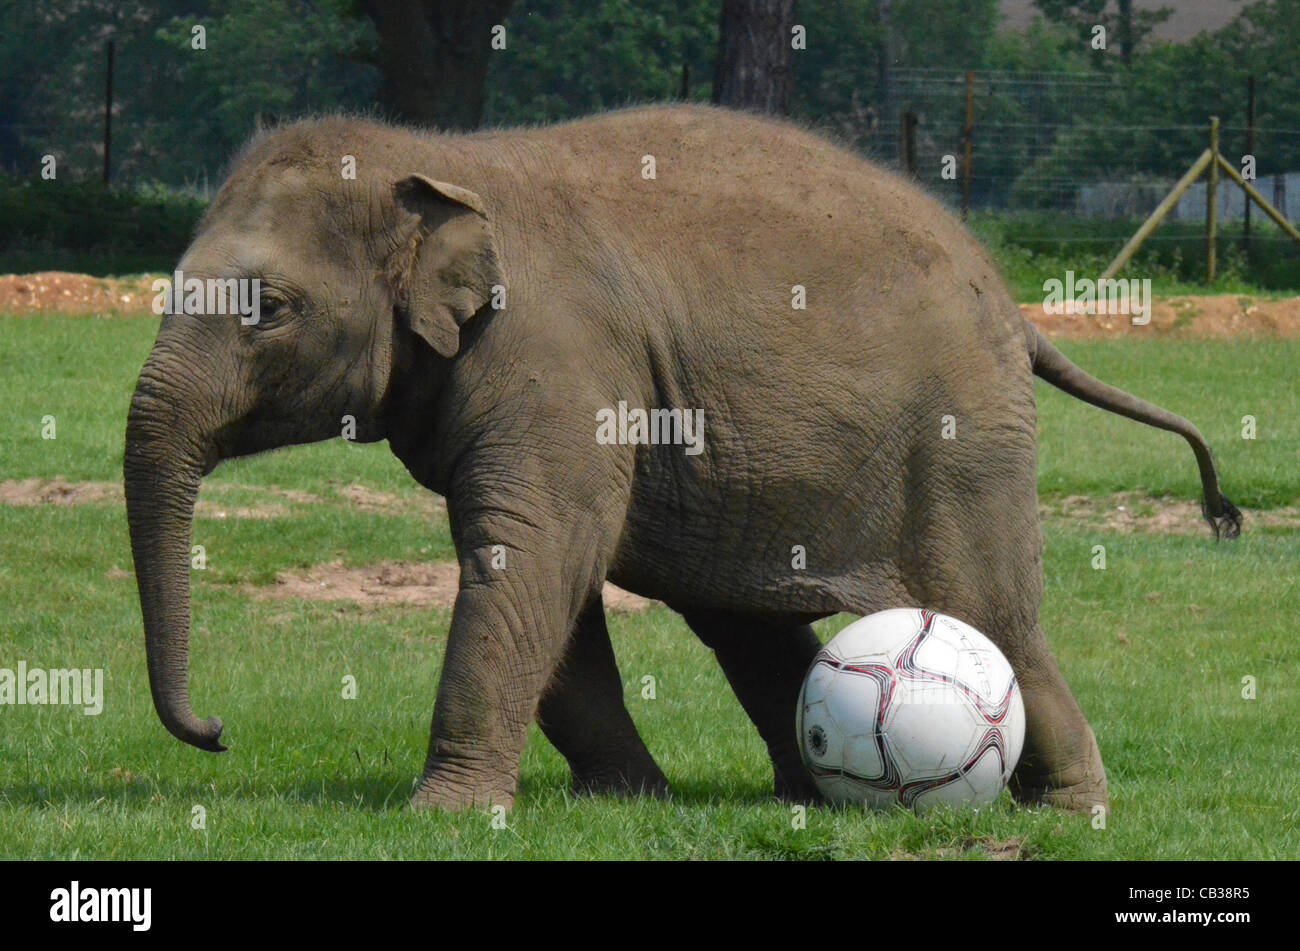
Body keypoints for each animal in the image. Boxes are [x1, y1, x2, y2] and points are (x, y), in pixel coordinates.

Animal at [124, 105, 1237, 815]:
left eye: (268, 308)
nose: (219, 731)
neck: (437, 160)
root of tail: (1015, 310)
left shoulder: (559, 360)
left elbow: (533, 549)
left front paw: (441, 817)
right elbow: (545, 572)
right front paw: (623, 802)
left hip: (963, 444)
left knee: (989, 616)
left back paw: (1071, 813)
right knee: (747, 620)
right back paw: (818, 796)